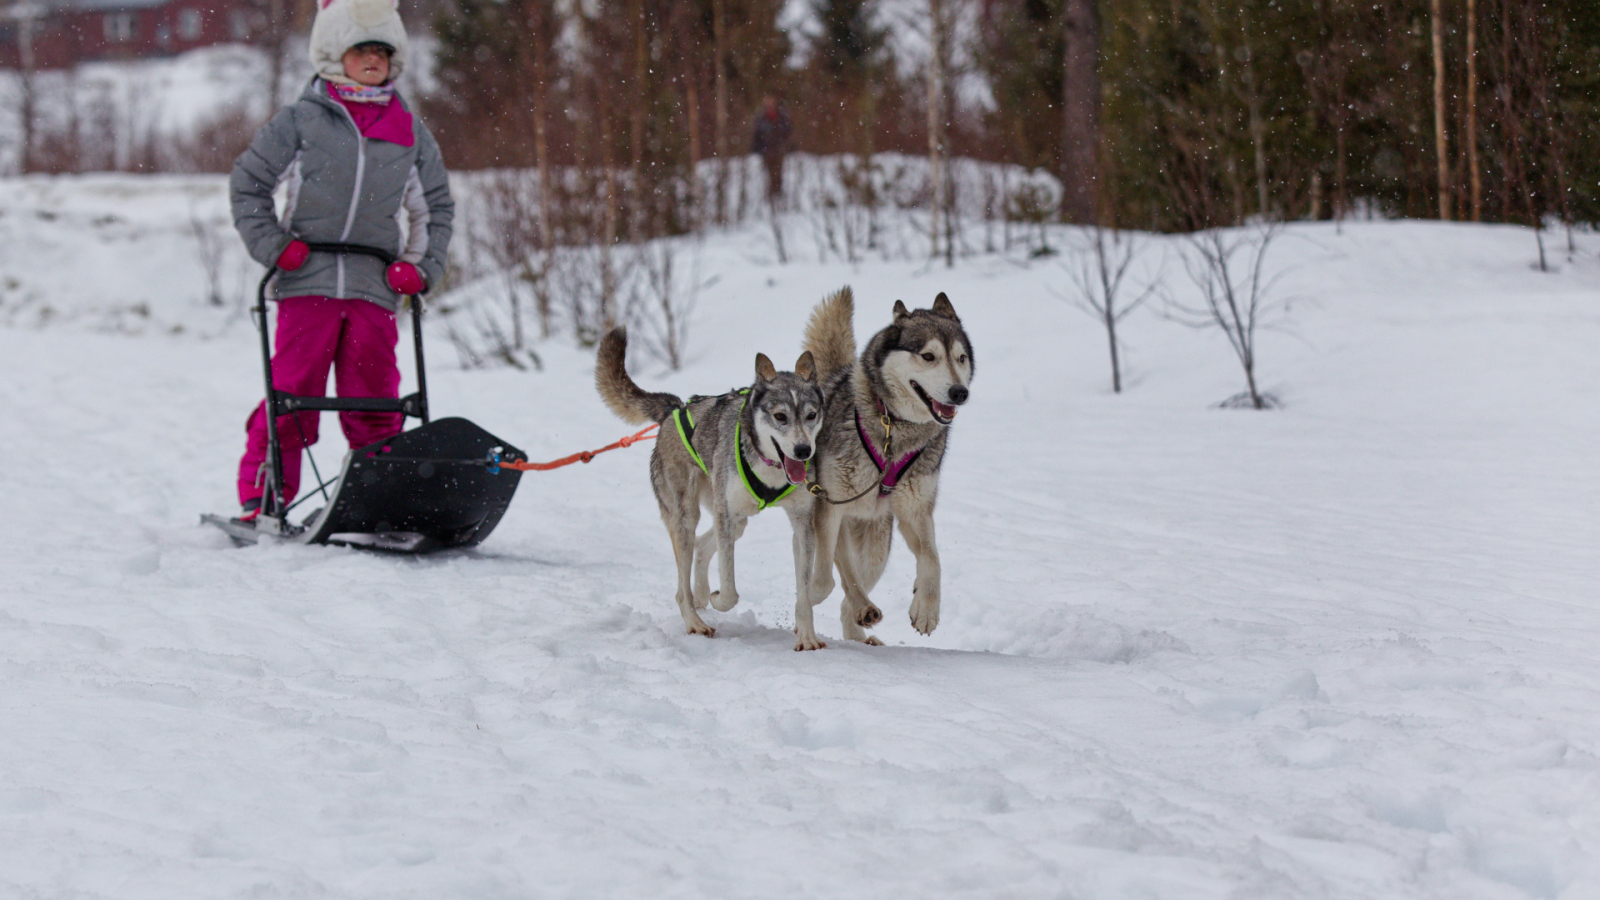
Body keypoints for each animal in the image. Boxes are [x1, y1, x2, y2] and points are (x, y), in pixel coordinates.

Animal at [598, 325, 825, 640]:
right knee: (683, 582)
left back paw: (702, 594)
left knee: (701, 549)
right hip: (689, 515)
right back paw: (695, 620)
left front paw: (807, 637)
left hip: (735, 517)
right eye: (780, 416)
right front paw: (719, 599)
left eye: (811, 415)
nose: (804, 450)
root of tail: (675, 410)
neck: (771, 467)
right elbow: (729, 590)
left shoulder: (802, 522)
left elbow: (804, 591)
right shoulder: (725, 514)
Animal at [800, 286, 972, 643]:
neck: (895, 428)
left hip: (877, 548)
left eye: (961, 358)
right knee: (841, 572)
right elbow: (824, 577)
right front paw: (810, 594)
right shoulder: (830, 507)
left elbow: (932, 558)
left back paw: (861, 627)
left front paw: (926, 609)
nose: (959, 392)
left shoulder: (915, 511)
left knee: (848, 598)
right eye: (928, 356)